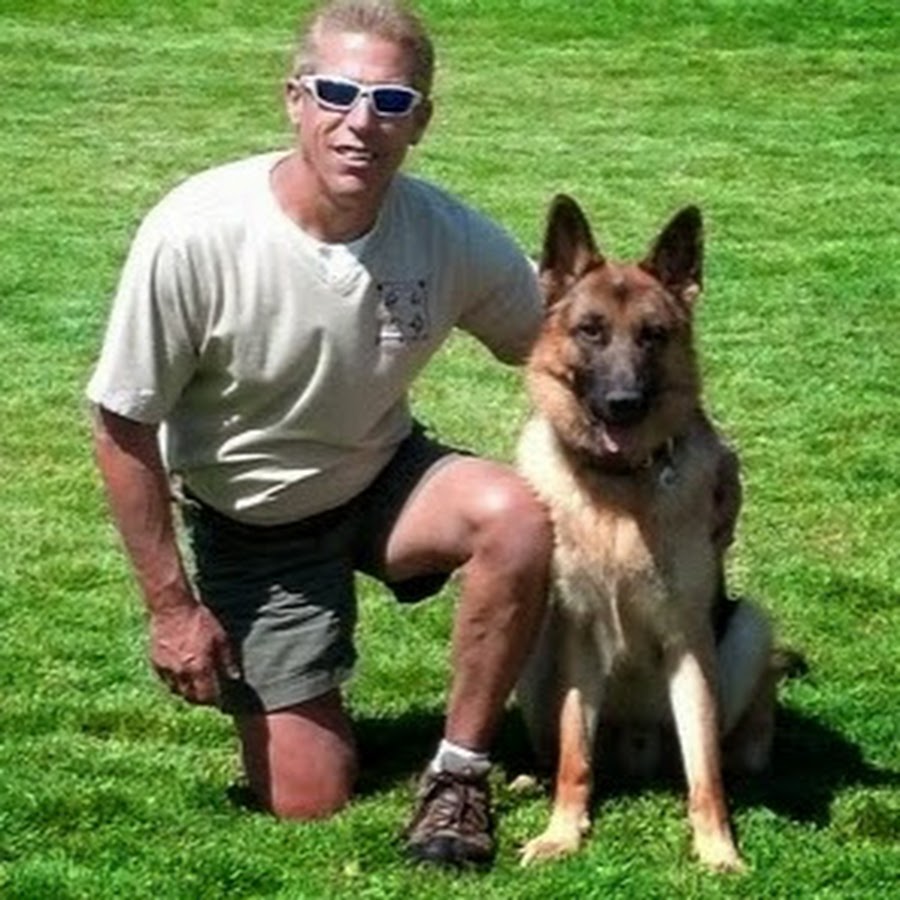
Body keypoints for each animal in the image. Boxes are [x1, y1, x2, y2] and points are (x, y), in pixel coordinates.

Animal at [515, 195, 784, 872]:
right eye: (590, 331)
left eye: (653, 336)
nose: (623, 403)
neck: (620, 493)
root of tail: (638, 750)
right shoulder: (580, 636)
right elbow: (574, 756)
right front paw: (563, 831)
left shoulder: (689, 643)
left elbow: (705, 773)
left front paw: (719, 850)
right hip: (538, 644)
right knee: (555, 748)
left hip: (750, 625)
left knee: (738, 735)